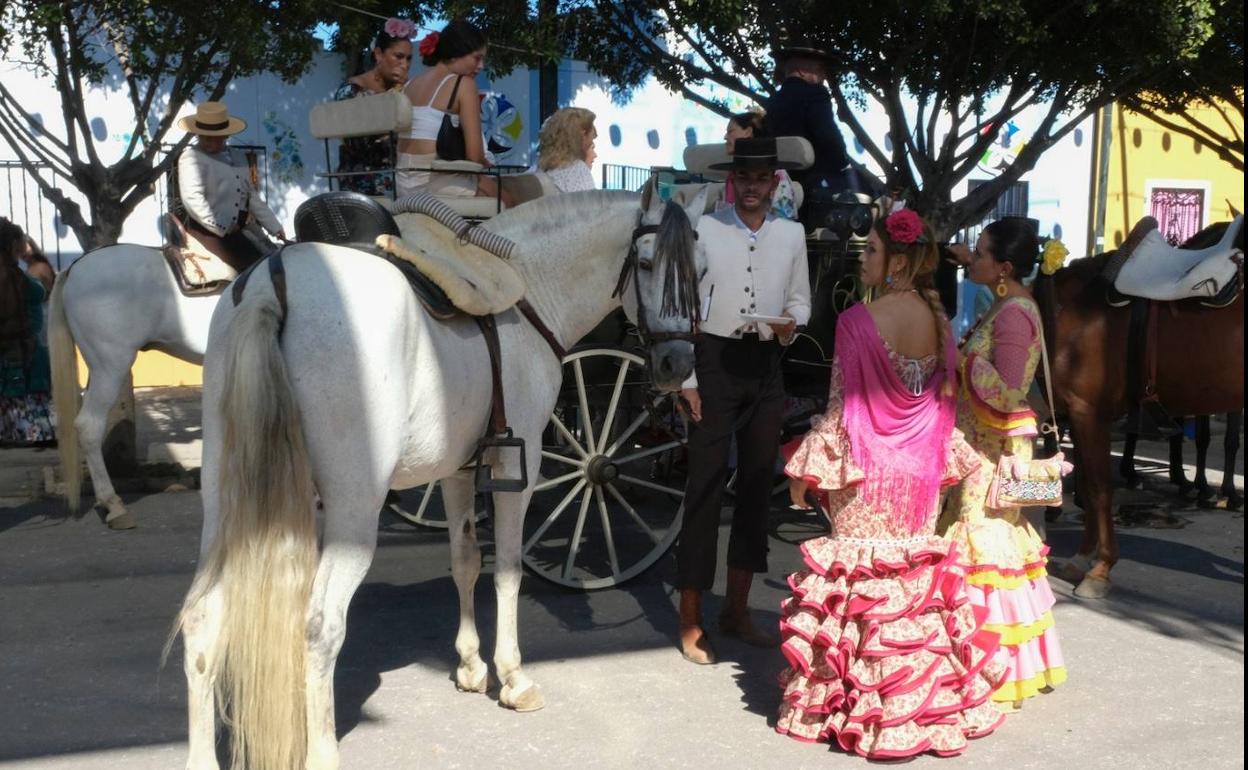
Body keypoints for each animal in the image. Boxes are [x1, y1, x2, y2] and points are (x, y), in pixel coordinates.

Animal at [1048, 219, 1243, 596]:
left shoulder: (1087, 412)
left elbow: (1098, 487)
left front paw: (1100, 569)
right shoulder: (1079, 416)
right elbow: (1089, 486)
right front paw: (1082, 558)